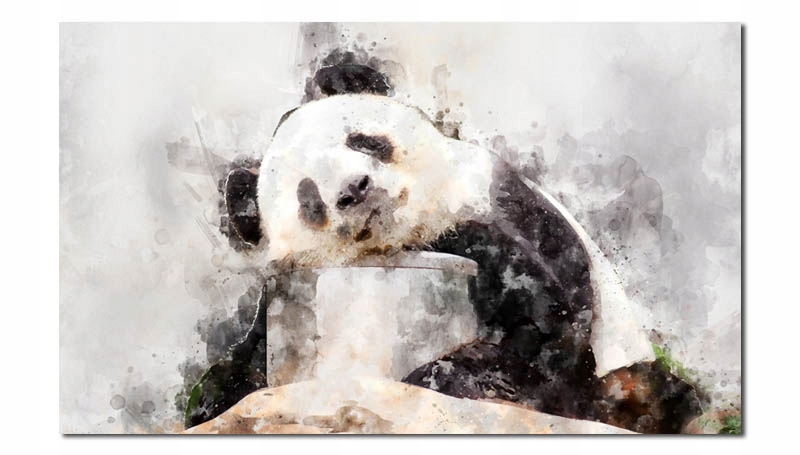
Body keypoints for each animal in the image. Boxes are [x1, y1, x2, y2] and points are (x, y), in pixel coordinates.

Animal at [185, 62, 701, 433]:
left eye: (363, 139)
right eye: (308, 196)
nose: (356, 188)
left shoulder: (499, 201)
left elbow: (545, 314)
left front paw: (443, 375)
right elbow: (244, 362)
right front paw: (211, 399)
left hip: (624, 373)